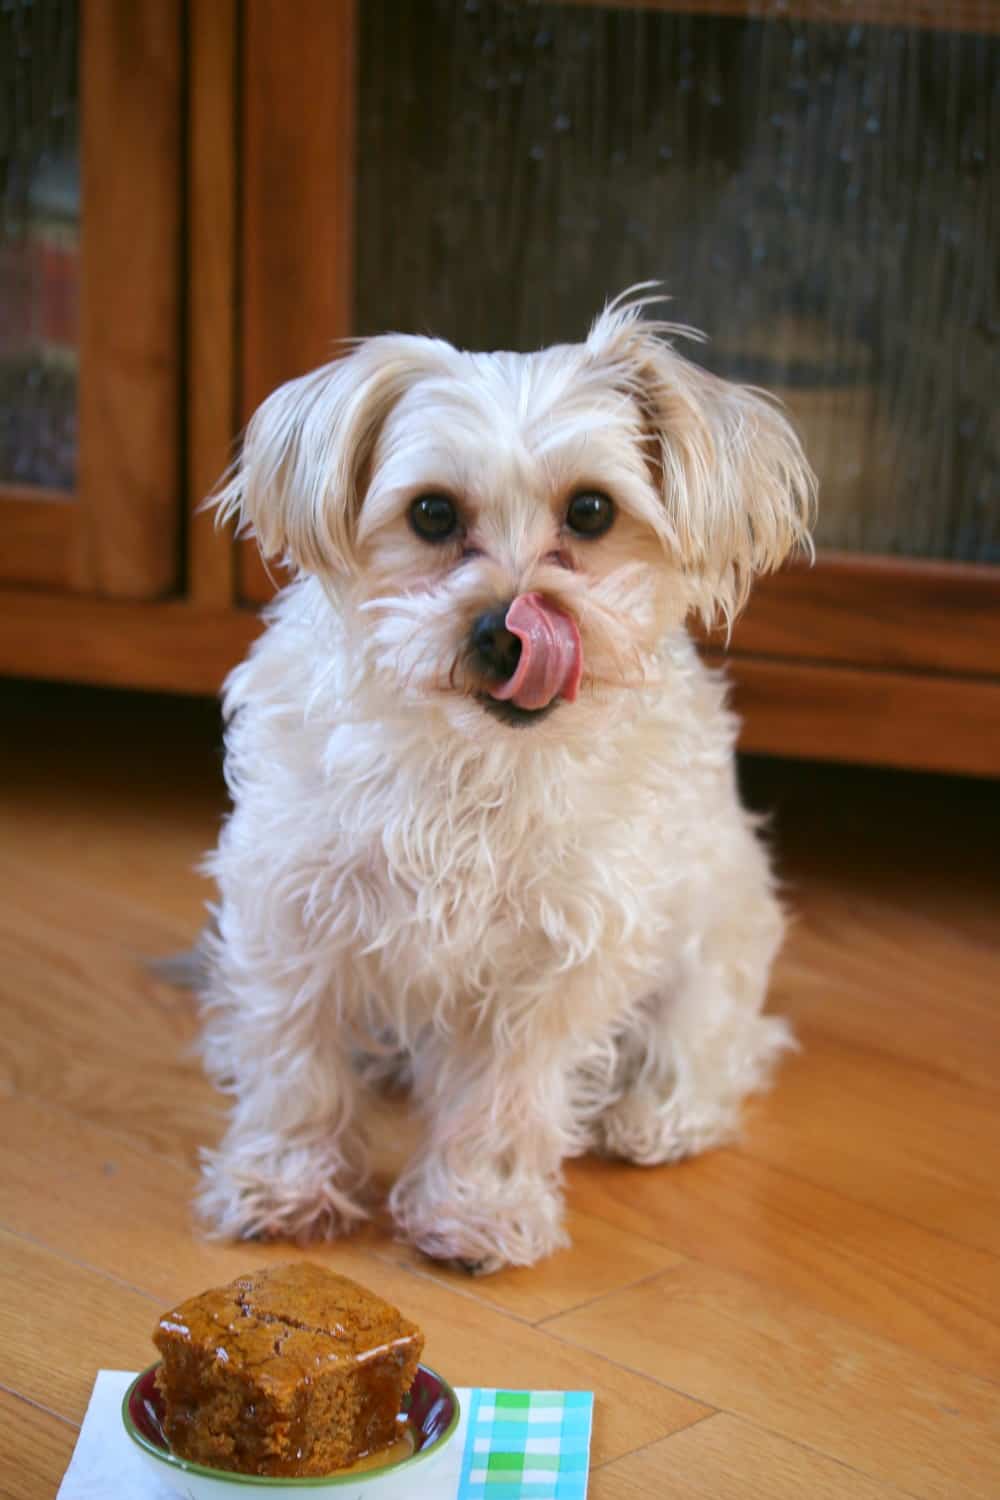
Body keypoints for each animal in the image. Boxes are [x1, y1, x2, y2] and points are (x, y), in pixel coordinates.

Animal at [194, 289, 815, 1266]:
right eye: (433, 514)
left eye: (592, 510)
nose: (507, 630)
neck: (475, 762)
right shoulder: (296, 907)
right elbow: (298, 1065)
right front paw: (284, 1187)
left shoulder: (557, 956)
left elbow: (504, 1097)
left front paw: (475, 1209)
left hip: (717, 944)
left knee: (719, 1047)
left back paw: (655, 1116)